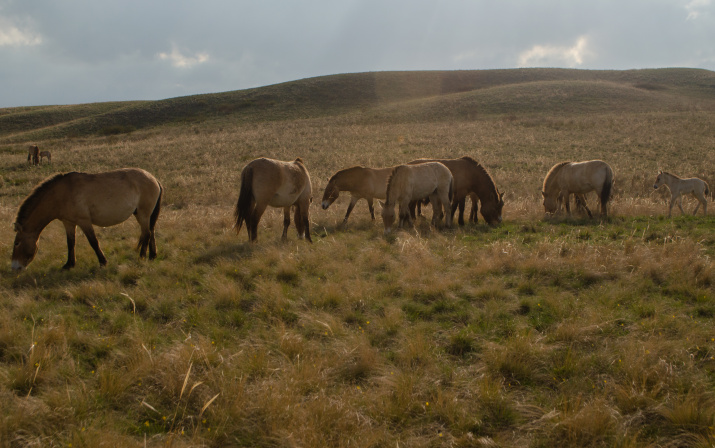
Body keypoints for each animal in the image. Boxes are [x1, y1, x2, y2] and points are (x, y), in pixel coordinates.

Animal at [12, 168, 165, 272]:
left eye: (17, 243)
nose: (15, 267)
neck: (61, 194)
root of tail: (154, 179)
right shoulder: (68, 222)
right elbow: (70, 243)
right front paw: (69, 264)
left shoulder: (84, 221)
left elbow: (93, 242)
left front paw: (103, 262)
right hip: (144, 215)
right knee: (151, 232)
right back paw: (152, 256)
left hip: (143, 214)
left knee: (146, 234)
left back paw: (142, 257)